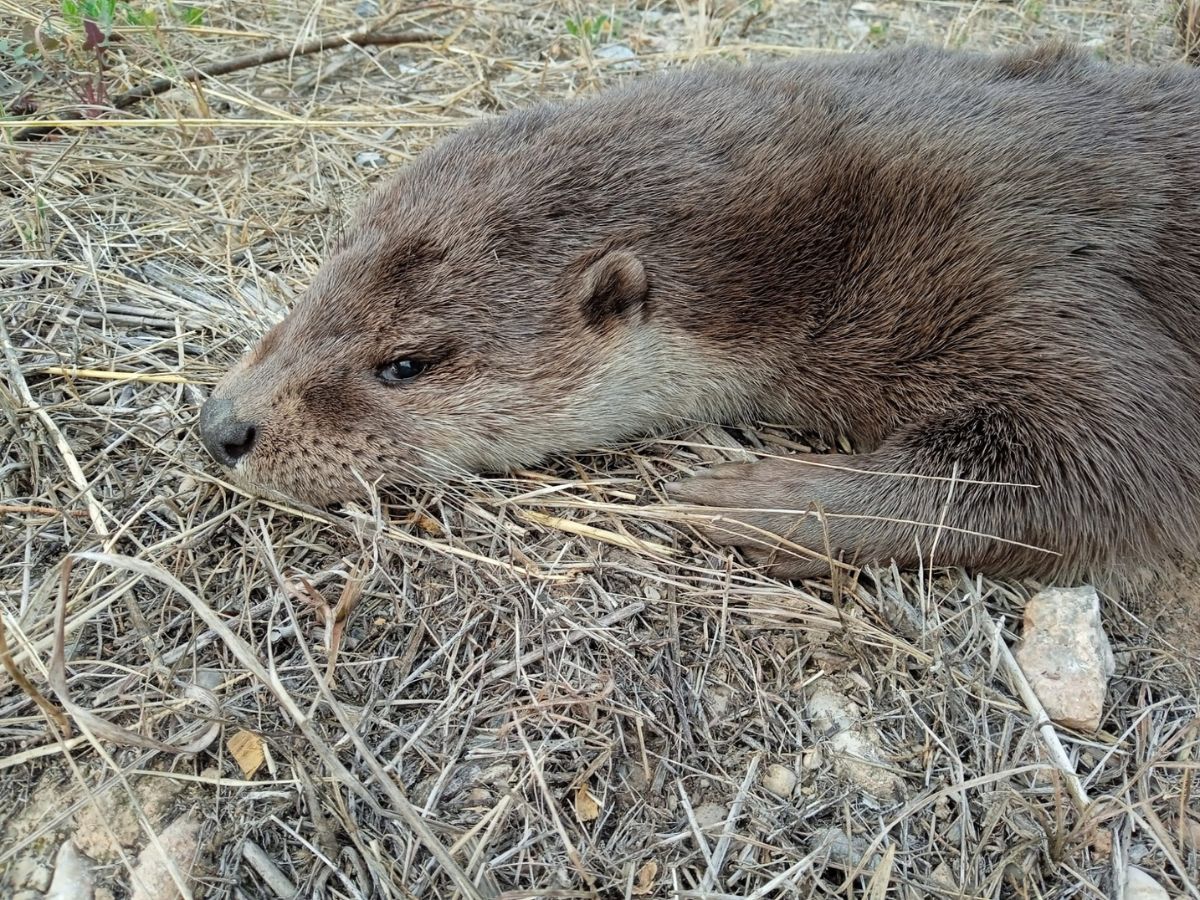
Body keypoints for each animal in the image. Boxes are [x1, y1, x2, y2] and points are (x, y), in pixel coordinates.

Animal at [199, 42, 1200, 580]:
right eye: (317, 287)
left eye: (403, 364)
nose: (222, 427)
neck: (830, 229)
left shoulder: (1015, 253)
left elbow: (1115, 459)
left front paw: (745, 497)